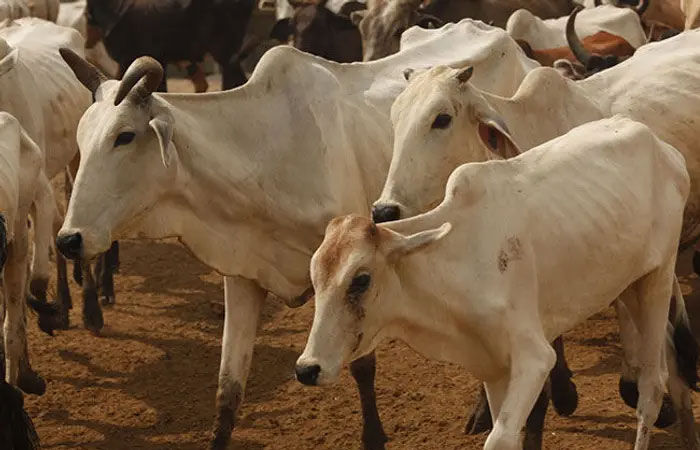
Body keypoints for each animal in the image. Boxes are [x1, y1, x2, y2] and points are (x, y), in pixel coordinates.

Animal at [56, 19, 538, 450]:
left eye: (124, 136)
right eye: (80, 136)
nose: (68, 240)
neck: (265, 154)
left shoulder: (358, 267)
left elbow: (362, 367)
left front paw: (373, 436)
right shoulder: (243, 276)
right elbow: (228, 390)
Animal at [296, 116, 692, 450]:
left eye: (360, 279)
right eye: (315, 280)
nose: (306, 369)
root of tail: (664, 149)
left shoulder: (534, 358)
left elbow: (501, 438)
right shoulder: (492, 366)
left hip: (657, 279)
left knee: (651, 388)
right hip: (627, 285)